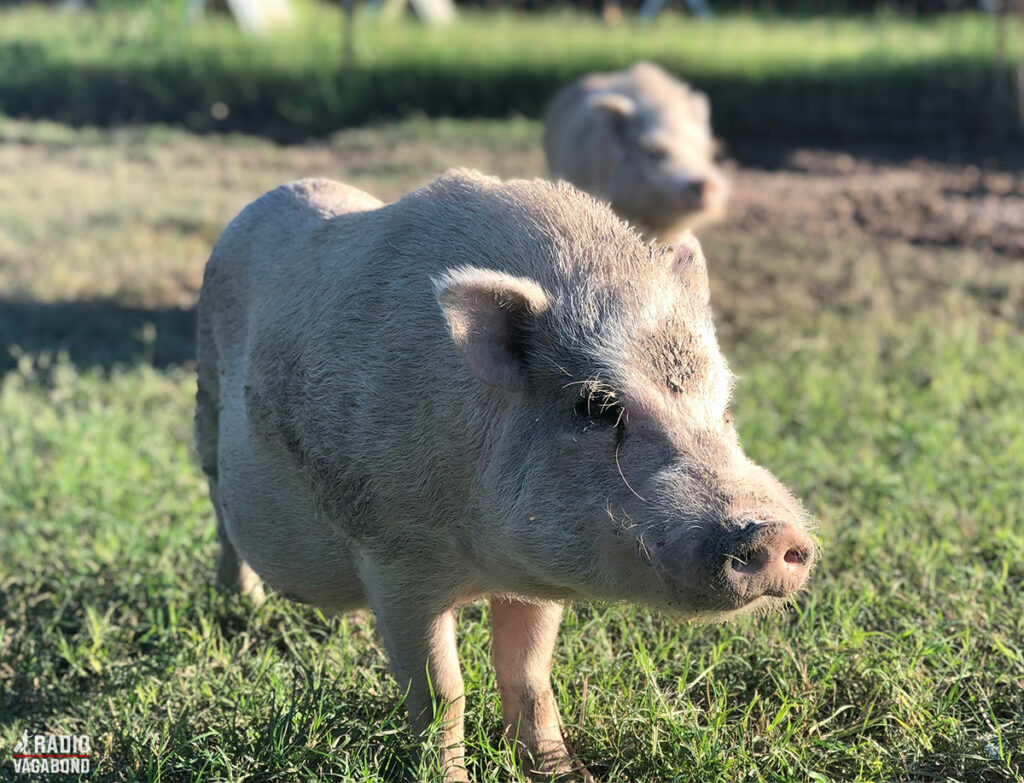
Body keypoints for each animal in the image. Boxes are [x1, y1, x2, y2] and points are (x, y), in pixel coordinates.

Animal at [193, 167, 815, 777]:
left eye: (724, 406)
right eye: (598, 406)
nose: (771, 532)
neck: (483, 562)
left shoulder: (539, 573)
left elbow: (529, 676)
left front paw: (565, 773)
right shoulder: (393, 555)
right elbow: (441, 694)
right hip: (206, 411)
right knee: (222, 516)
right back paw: (241, 603)